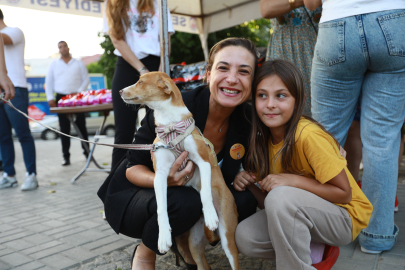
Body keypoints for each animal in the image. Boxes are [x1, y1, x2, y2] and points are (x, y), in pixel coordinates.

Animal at [120, 71, 240, 270]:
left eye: (140, 82)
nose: (120, 91)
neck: (170, 124)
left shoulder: (203, 162)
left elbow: (205, 193)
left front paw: (210, 215)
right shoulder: (160, 176)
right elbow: (161, 207)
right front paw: (163, 238)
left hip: (228, 238)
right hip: (194, 244)